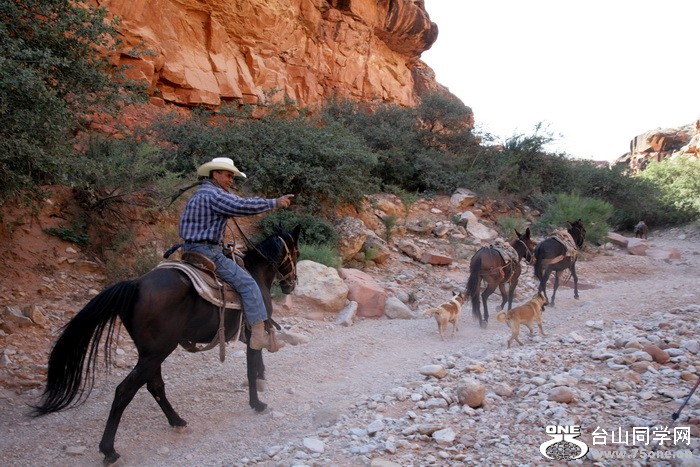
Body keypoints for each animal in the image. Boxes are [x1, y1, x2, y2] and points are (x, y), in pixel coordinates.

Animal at [31, 226, 300, 464]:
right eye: (296, 252)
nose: (291, 284)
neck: (255, 273)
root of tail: (136, 285)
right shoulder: (253, 327)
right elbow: (251, 365)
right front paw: (257, 403)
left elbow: (257, 360)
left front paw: (262, 379)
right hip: (157, 352)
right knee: (125, 390)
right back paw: (109, 450)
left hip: (152, 353)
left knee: (155, 385)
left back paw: (177, 421)